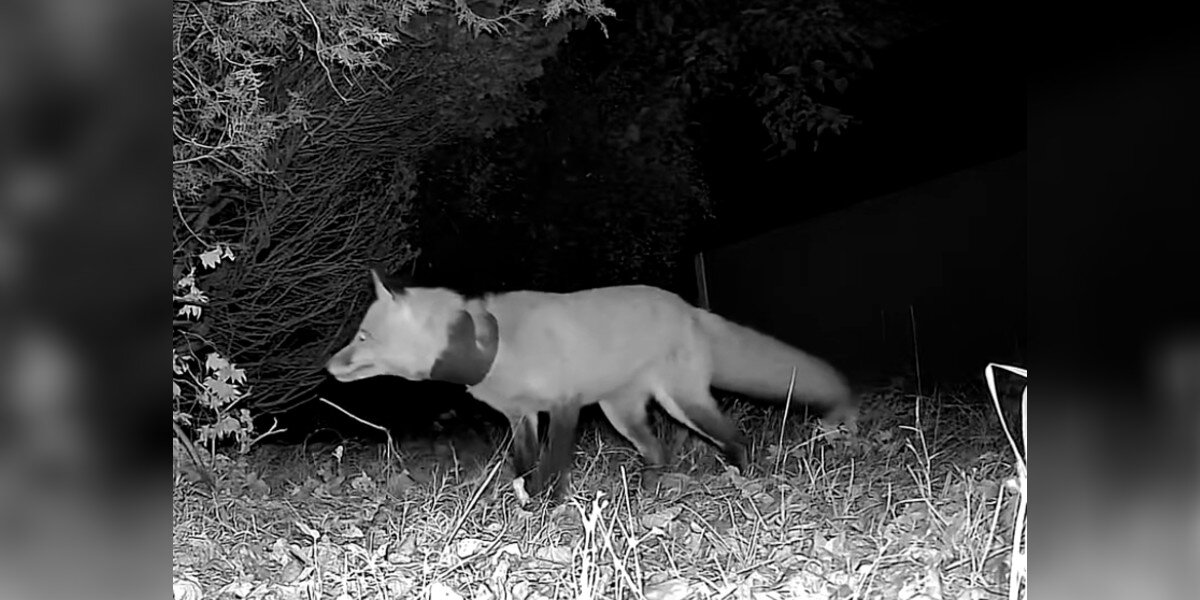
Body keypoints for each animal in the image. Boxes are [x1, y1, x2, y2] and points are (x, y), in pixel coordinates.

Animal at [326, 270, 858, 502]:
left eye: (363, 335)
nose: (328, 366)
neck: (494, 345)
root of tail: (689, 308)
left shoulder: (566, 406)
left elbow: (551, 467)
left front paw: (546, 505)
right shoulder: (522, 417)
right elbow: (522, 467)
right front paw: (523, 503)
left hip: (681, 403)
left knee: (735, 438)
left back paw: (744, 477)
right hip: (622, 415)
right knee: (660, 452)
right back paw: (649, 490)